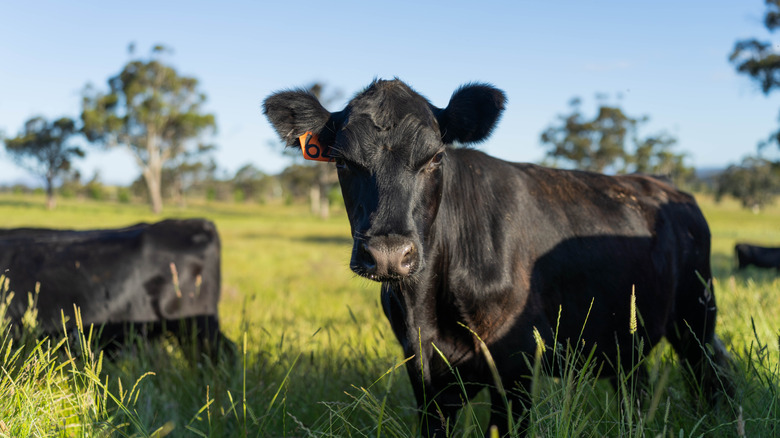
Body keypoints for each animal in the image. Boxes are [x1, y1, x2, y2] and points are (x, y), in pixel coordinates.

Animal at [263, 79, 731, 436]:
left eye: (435, 157)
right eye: (342, 162)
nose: (388, 254)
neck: (425, 307)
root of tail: (664, 184)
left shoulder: (516, 369)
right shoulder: (425, 378)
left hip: (696, 317)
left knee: (714, 373)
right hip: (627, 340)